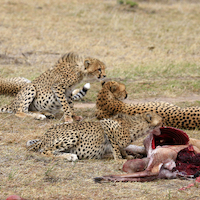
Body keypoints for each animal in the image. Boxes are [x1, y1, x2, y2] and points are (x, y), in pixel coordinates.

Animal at [26, 112, 163, 161]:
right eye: (161, 119)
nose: (163, 124)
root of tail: (45, 135)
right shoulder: (108, 125)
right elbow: (116, 146)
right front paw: (120, 159)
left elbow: (122, 147)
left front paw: (127, 156)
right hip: (74, 134)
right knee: (45, 151)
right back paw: (69, 156)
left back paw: (70, 155)